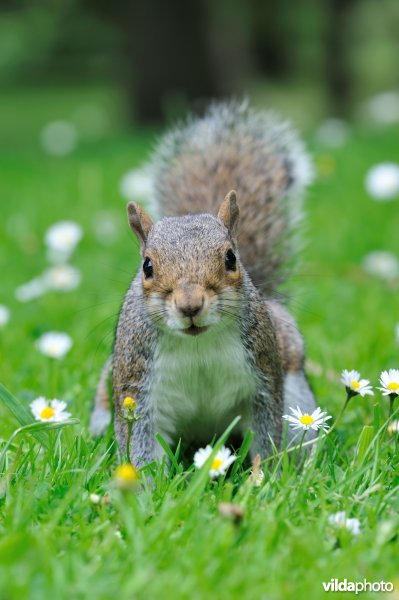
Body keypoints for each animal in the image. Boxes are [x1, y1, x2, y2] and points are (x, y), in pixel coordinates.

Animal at [90, 101, 316, 466]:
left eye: (231, 259)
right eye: (147, 266)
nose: (190, 305)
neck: (197, 346)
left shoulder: (264, 380)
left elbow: (265, 439)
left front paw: (260, 476)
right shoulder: (137, 392)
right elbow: (141, 449)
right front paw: (142, 483)